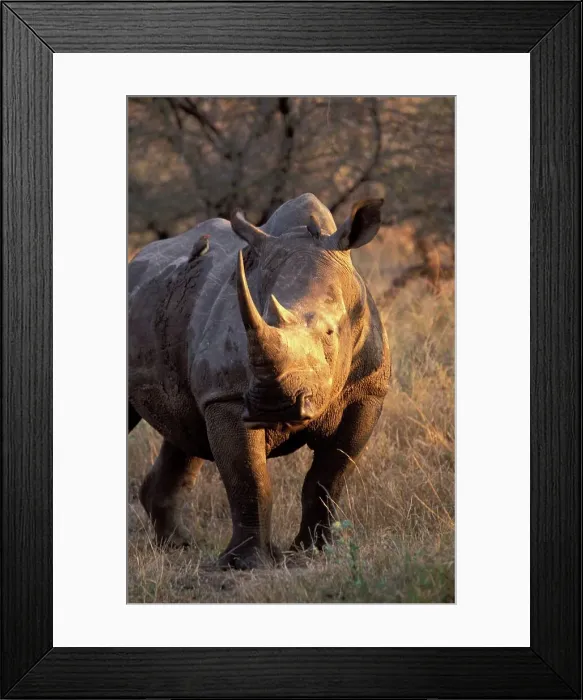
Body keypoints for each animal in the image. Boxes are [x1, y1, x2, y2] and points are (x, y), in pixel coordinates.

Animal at [128, 193, 391, 569]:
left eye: (329, 333)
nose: (273, 405)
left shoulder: (367, 393)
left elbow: (330, 476)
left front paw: (315, 552)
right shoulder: (228, 396)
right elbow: (249, 479)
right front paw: (245, 565)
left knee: (184, 433)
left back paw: (178, 546)